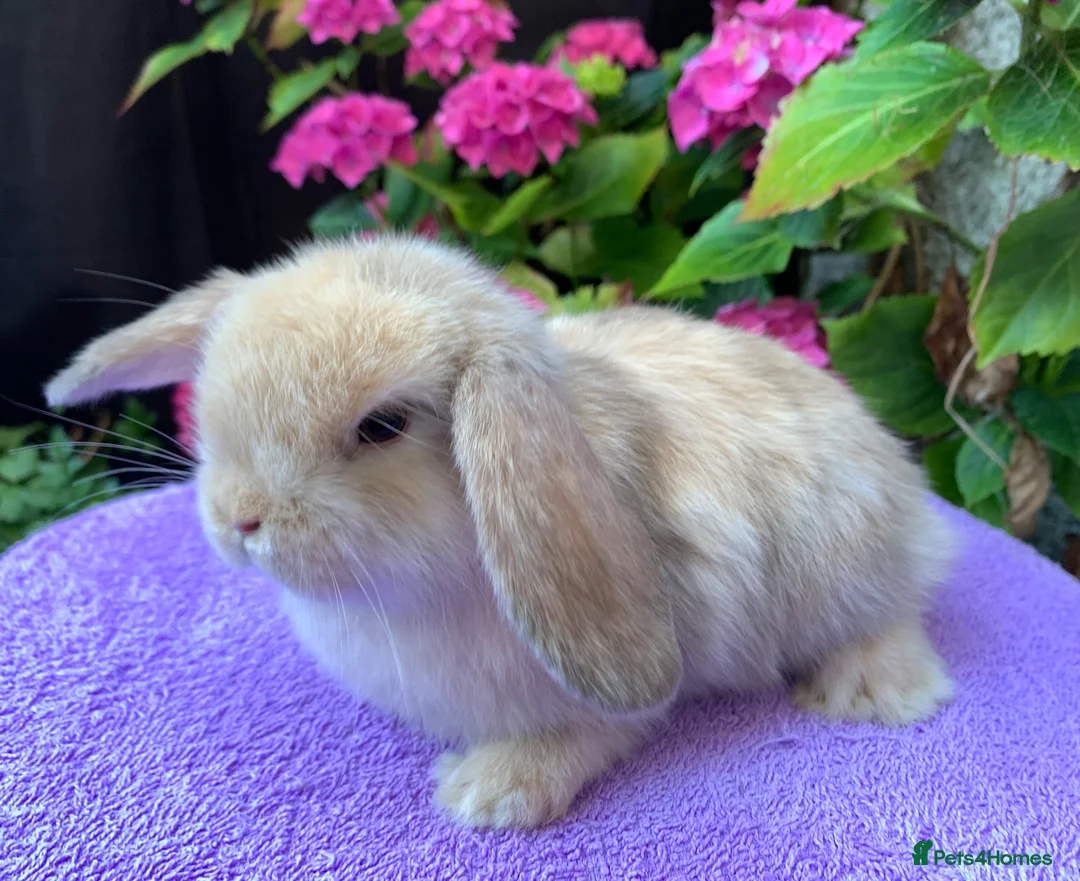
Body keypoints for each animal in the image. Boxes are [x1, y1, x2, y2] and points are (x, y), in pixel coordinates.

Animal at [45, 235, 957, 829]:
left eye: (382, 426)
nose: (240, 518)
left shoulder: (619, 682)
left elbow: (595, 729)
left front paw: (485, 795)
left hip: (850, 569)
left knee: (894, 623)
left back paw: (869, 693)